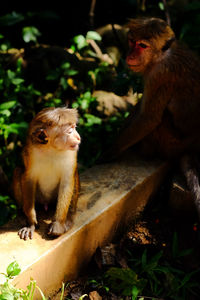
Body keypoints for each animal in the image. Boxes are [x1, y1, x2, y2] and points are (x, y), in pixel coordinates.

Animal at [12, 106, 80, 240]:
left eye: (74, 128)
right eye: (69, 132)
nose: (78, 137)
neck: (52, 149)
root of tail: (46, 205)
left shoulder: (72, 153)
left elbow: (67, 180)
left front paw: (58, 224)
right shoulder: (31, 152)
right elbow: (28, 179)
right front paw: (31, 223)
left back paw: (69, 216)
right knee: (18, 171)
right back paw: (22, 214)